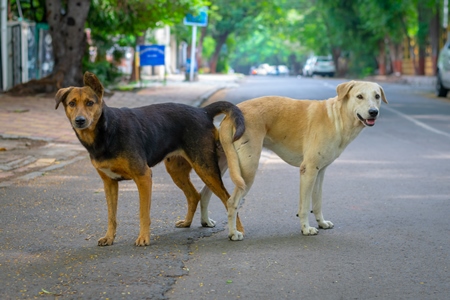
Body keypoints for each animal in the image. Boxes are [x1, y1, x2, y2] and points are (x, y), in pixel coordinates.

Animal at [56, 72, 246, 246]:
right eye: (72, 103)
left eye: (90, 103)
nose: (80, 121)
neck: (106, 131)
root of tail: (203, 111)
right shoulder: (109, 182)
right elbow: (111, 215)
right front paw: (109, 237)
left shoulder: (143, 176)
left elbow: (143, 213)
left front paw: (143, 238)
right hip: (176, 170)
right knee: (194, 195)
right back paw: (187, 223)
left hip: (205, 167)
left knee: (228, 199)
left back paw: (238, 231)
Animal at [200, 81, 386, 240]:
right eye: (359, 96)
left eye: (377, 96)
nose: (373, 112)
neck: (336, 117)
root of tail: (231, 114)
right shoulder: (308, 170)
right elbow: (304, 206)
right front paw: (306, 229)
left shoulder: (320, 172)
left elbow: (317, 202)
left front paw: (321, 222)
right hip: (247, 173)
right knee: (231, 202)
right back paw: (233, 233)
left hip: (222, 166)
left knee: (205, 193)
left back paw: (206, 221)